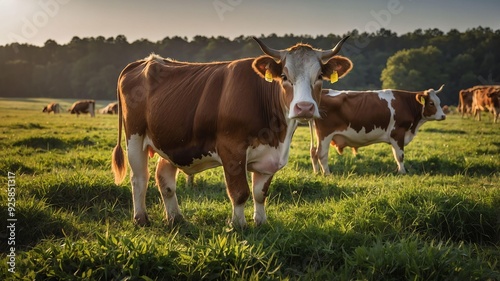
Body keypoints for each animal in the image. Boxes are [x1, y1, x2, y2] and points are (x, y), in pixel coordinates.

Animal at [111, 36, 354, 226]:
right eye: (285, 77)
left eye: (320, 77)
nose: (304, 107)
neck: (277, 135)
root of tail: (147, 61)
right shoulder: (232, 150)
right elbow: (240, 192)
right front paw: (239, 225)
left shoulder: (269, 157)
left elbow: (260, 193)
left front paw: (261, 222)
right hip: (135, 138)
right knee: (139, 178)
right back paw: (141, 218)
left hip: (171, 142)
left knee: (164, 179)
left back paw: (176, 218)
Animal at [310, 84, 448, 174]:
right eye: (431, 103)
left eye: (439, 102)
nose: (443, 116)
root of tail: (323, 91)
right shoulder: (398, 132)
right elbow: (400, 156)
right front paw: (403, 172)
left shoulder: (394, 137)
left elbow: (395, 155)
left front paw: (399, 171)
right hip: (325, 134)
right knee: (321, 154)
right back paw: (327, 174)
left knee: (314, 152)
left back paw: (317, 173)